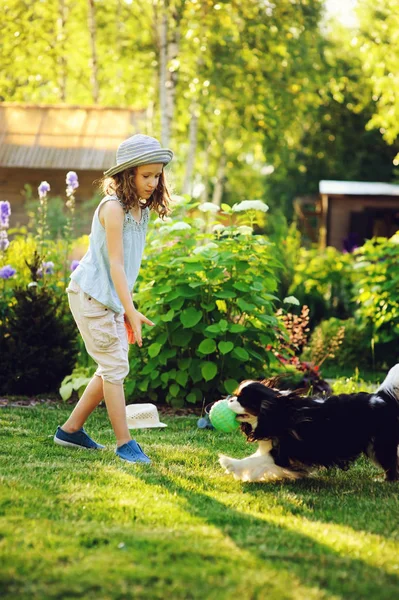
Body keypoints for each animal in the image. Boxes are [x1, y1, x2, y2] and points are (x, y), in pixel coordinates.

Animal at [219, 360, 399, 482]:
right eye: (236, 396)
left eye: (242, 400)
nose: (230, 399)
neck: (279, 412)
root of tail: (380, 397)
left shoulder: (284, 454)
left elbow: (253, 460)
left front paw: (230, 463)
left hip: (380, 445)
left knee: (390, 464)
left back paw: (385, 481)